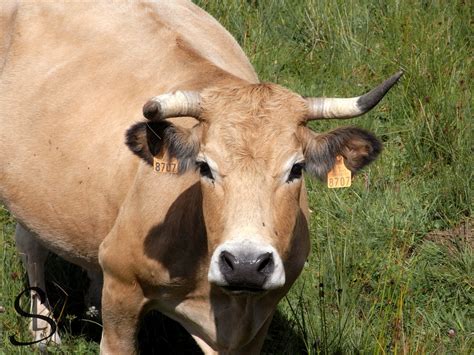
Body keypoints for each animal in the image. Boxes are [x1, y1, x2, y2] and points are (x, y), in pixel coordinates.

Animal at [0, 1, 402, 354]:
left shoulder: (259, 319)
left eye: (297, 168)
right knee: (31, 246)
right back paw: (43, 331)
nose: (245, 264)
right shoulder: (122, 292)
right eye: (205, 167)